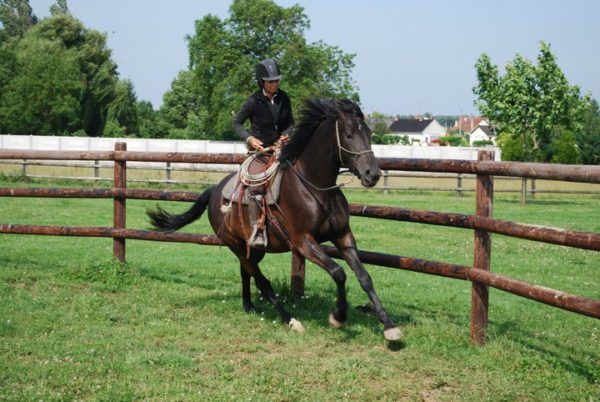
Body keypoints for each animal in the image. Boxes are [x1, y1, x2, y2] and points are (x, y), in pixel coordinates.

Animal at [149, 99, 404, 340]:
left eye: (369, 133)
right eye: (349, 134)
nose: (372, 174)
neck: (315, 187)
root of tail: (214, 191)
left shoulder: (343, 236)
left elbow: (364, 277)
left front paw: (389, 326)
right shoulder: (303, 242)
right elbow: (338, 273)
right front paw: (339, 317)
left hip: (255, 248)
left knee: (246, 271)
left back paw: (249, 305)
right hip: (235, 244)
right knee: (261, 281)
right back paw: (290, 320)